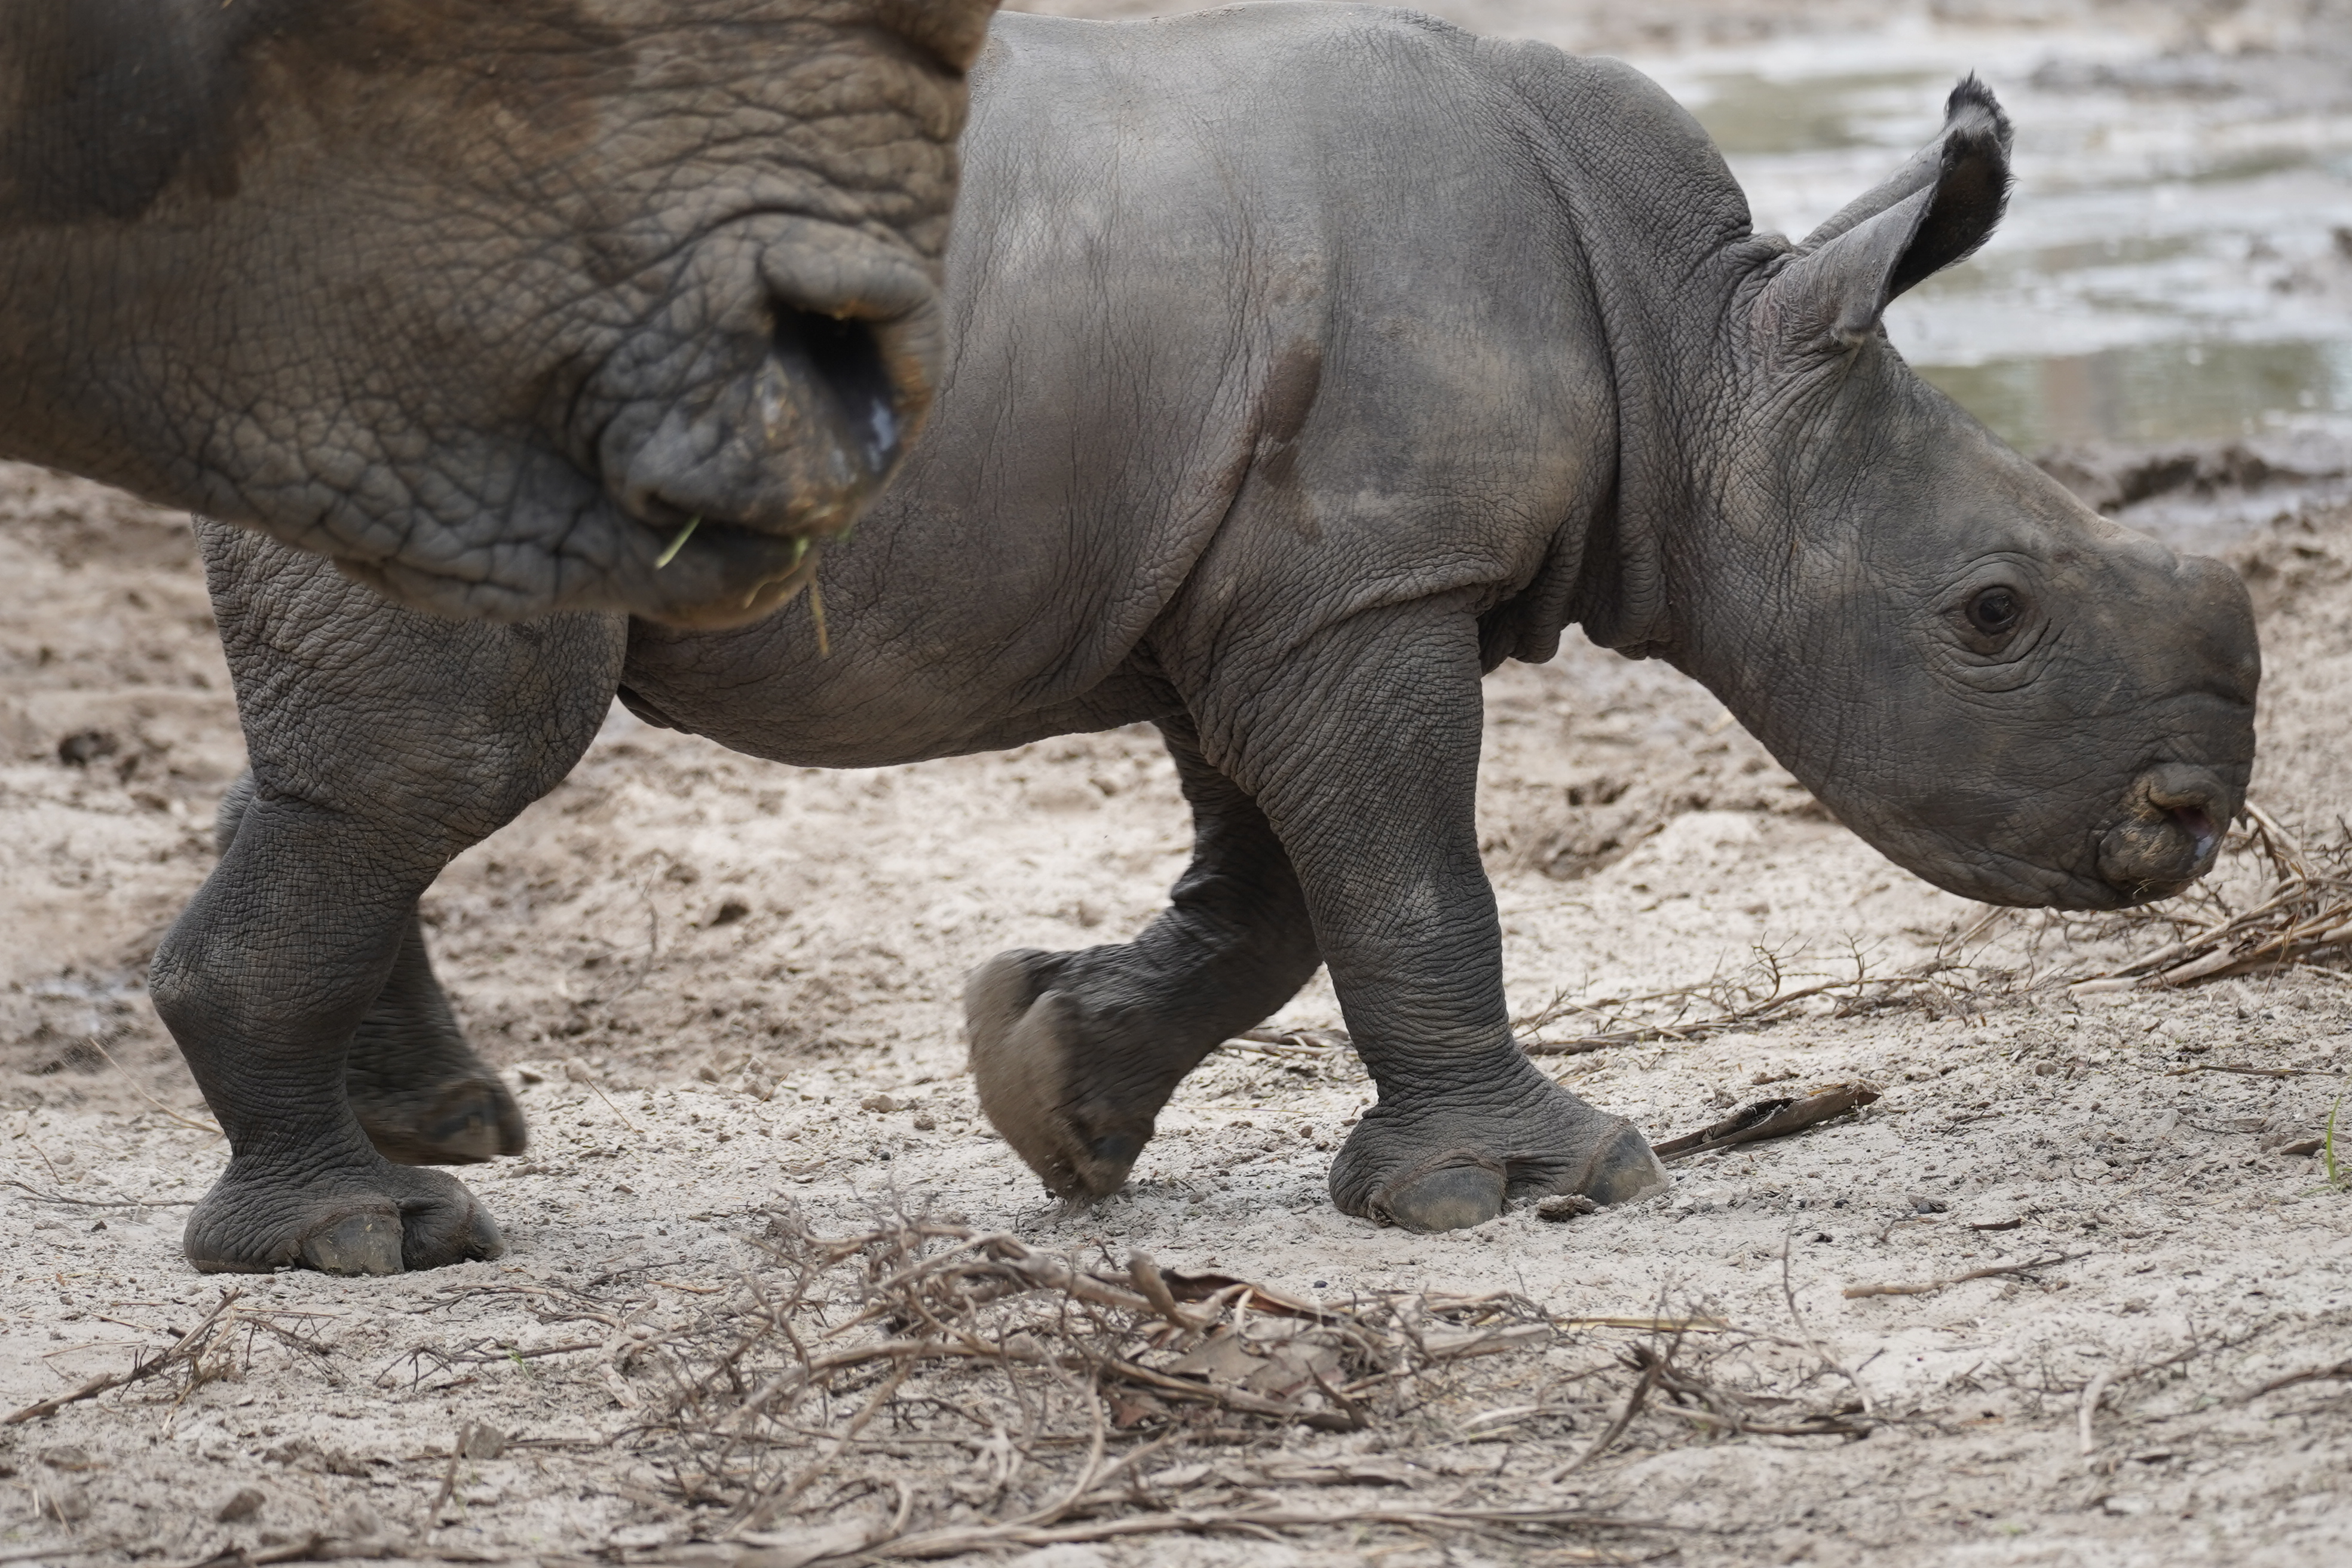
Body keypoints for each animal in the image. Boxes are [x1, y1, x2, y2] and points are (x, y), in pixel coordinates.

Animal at [150, 5, 2257, 1275]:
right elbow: (1408, 879)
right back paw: (368, 1234)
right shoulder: (1361, 585)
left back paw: (439, 1127)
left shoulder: (1270, 583)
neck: (1701, 348)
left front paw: (1056, 1094)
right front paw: (1533, 1190)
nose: (2189, 815)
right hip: (429, 367)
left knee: (374, 769)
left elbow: (1277, 898)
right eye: (1993, 616)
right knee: (446, 754)